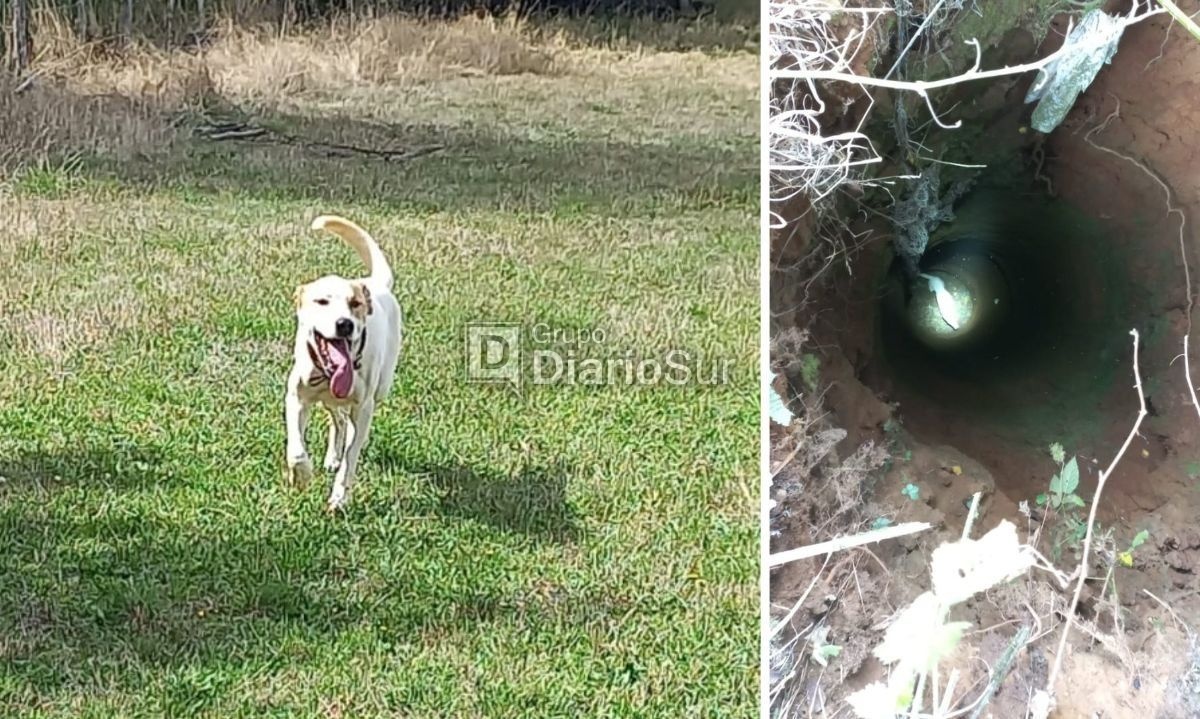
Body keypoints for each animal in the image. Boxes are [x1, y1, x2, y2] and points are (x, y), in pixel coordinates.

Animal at [284, 213, 403, 511]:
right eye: (321, 301)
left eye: (355, 303)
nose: (344, 324)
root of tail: (375, 283)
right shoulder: (296, 397)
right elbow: (295, 448)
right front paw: (300, 475)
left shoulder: (363, 407)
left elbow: (351, 458)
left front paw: (339, 497)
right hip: (329, 400)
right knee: (337, 420)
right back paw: (330, 456)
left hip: (379, 389)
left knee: (348, 423)